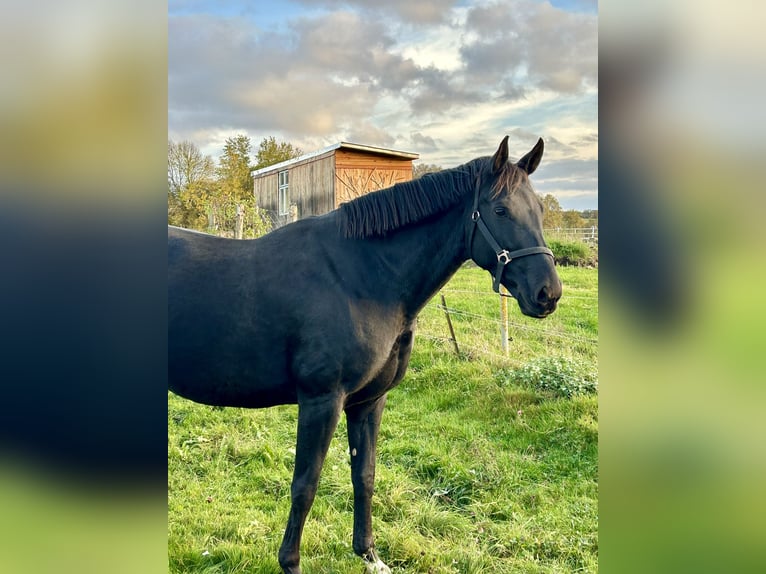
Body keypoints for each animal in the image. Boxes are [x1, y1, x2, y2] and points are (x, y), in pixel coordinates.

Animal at [168, 136, 562, 574]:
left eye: (540, 209)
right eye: (500, 210)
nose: (548, 293)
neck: (361, 277)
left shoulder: (369, 401)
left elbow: (365, 475)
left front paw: (369, 554)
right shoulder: (322, 400)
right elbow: (305, 484)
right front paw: (291, 563)